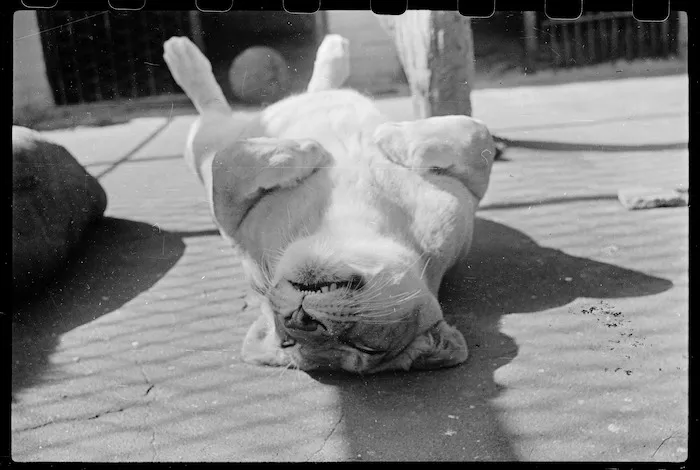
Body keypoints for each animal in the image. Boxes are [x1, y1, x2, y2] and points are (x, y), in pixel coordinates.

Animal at [163, 34, 495, 374]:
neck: (344, 226)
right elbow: (478, 134)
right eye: (287, 341)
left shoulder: (460, 210)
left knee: (213, 111)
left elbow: (478, 135)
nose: (300, 320)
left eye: (363, 346)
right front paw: (316, 148)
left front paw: (385, 137)